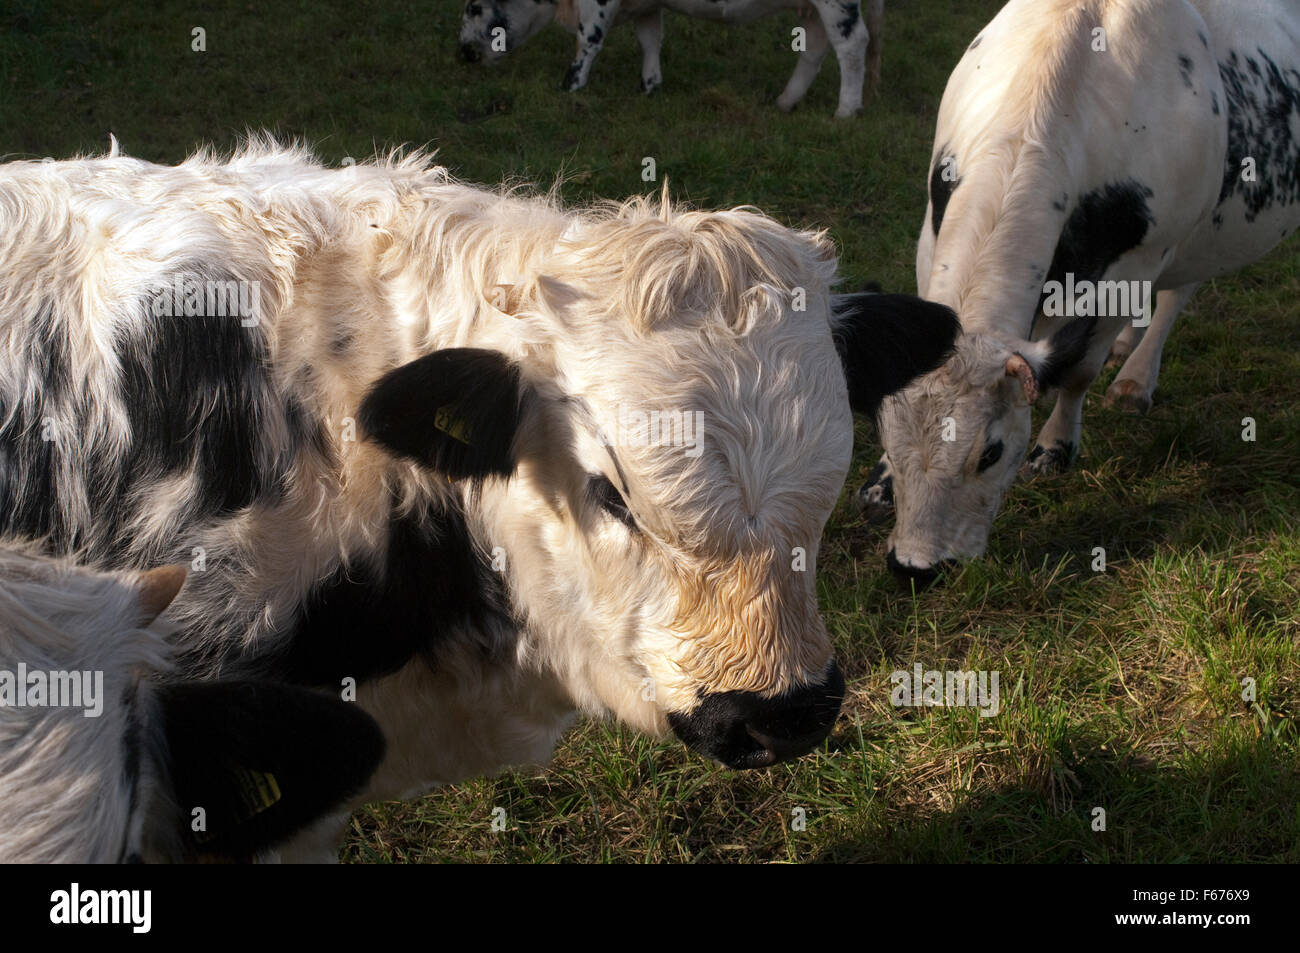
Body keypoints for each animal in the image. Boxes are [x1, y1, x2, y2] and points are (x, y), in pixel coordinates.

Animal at [454, 0, 883, 118]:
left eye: (474, 7)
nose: (462, 53)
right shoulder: (646, 6)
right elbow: (650, 40)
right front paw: (650, 86)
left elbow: (589, 40)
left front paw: (570, 87)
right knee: (814, 49)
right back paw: (785, 101)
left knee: (852, 44)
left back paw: (846, 111)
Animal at [852, 0, 1300, 579]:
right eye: (885, 436)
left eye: (992, 453)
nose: (915, 567)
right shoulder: (931, 231)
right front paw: (881, 483)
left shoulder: (1135, 264)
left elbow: (1080, 369)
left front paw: (1056, 447)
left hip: (1197, 233)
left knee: (1177, 294)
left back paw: (1135, 379)